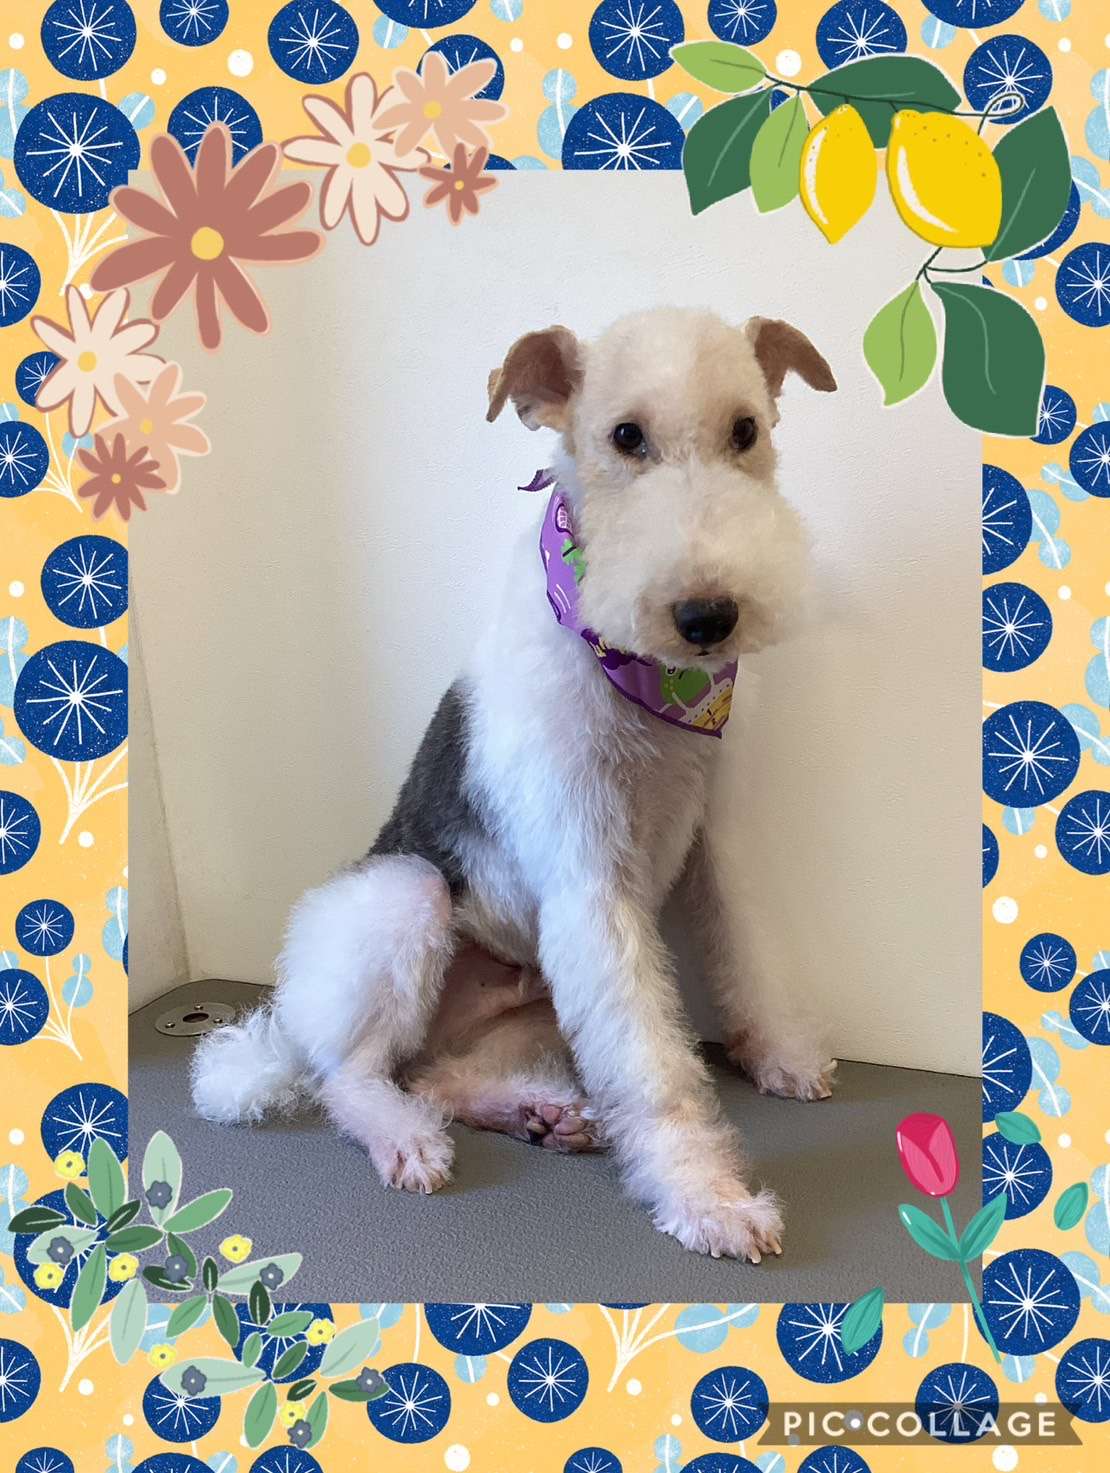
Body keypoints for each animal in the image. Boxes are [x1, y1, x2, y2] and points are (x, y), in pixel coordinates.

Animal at [191, 307, 838, 1261]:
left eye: (747, 430)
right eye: (625, 437)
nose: (708, 616)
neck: (650, 683)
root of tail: (286, 1020)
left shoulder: (715, 839)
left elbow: (748, 953)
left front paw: (781, 1053)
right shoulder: (590, 879)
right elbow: (658, 1076)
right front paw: (708, 1196)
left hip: (535, 1006)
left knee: (439, 1074)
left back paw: (540, 1111)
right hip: (405, 898)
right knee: (351, 1074)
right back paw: (405, 1136)